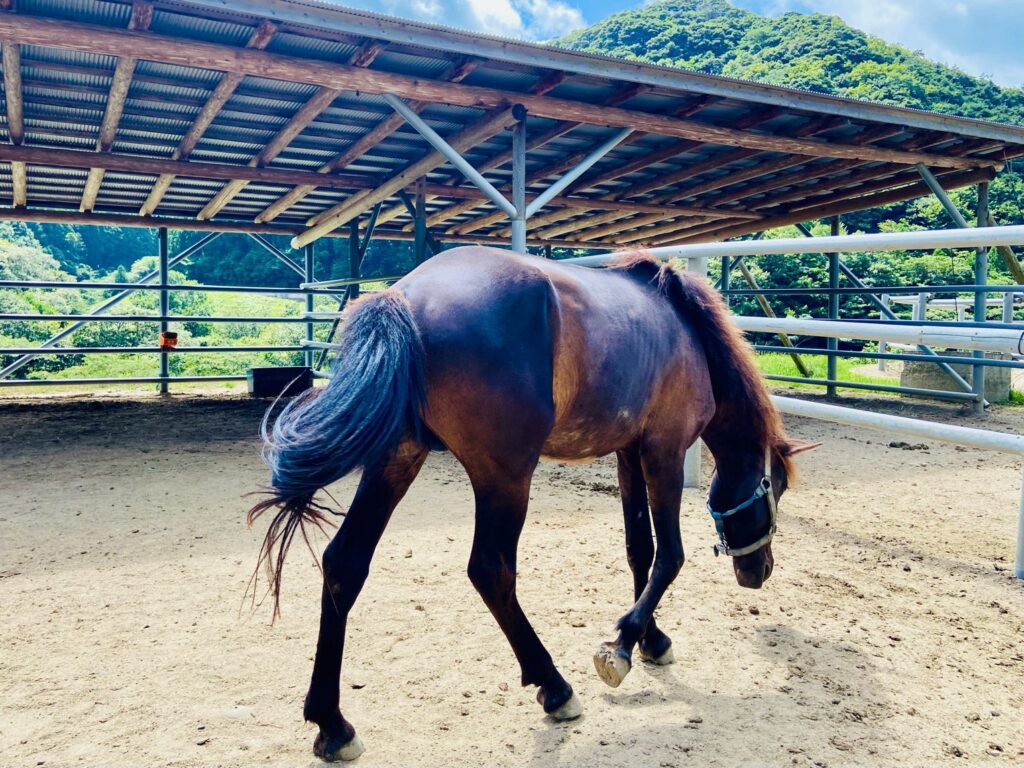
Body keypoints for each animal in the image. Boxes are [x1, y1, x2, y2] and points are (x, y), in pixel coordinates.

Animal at [251, 246, 819, 765]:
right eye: (776, 490)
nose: (760, 572)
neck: (686, 333)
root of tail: (406, 297)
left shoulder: (628, 451)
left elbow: (639, 549)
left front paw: (650, 639)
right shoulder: (664, 450)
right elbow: (670, 555)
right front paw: (622, 645)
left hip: (398, 457)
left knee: (345, 564)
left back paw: (332, 724)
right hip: (505, 476)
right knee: (490, 570)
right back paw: (555, 686)